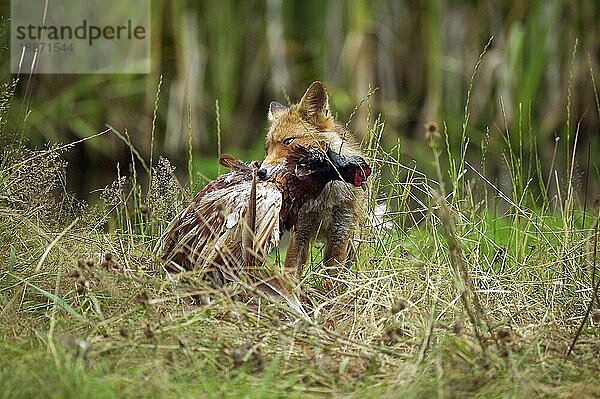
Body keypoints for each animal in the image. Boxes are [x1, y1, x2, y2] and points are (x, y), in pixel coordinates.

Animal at [258, 81, 370, 282]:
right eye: (267, 149)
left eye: (288, 141)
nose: (261, 172)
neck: (322, 195)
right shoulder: (300, 230)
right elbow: (291, 272)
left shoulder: (340, 232)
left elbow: (332, 279)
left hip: (354, 239)